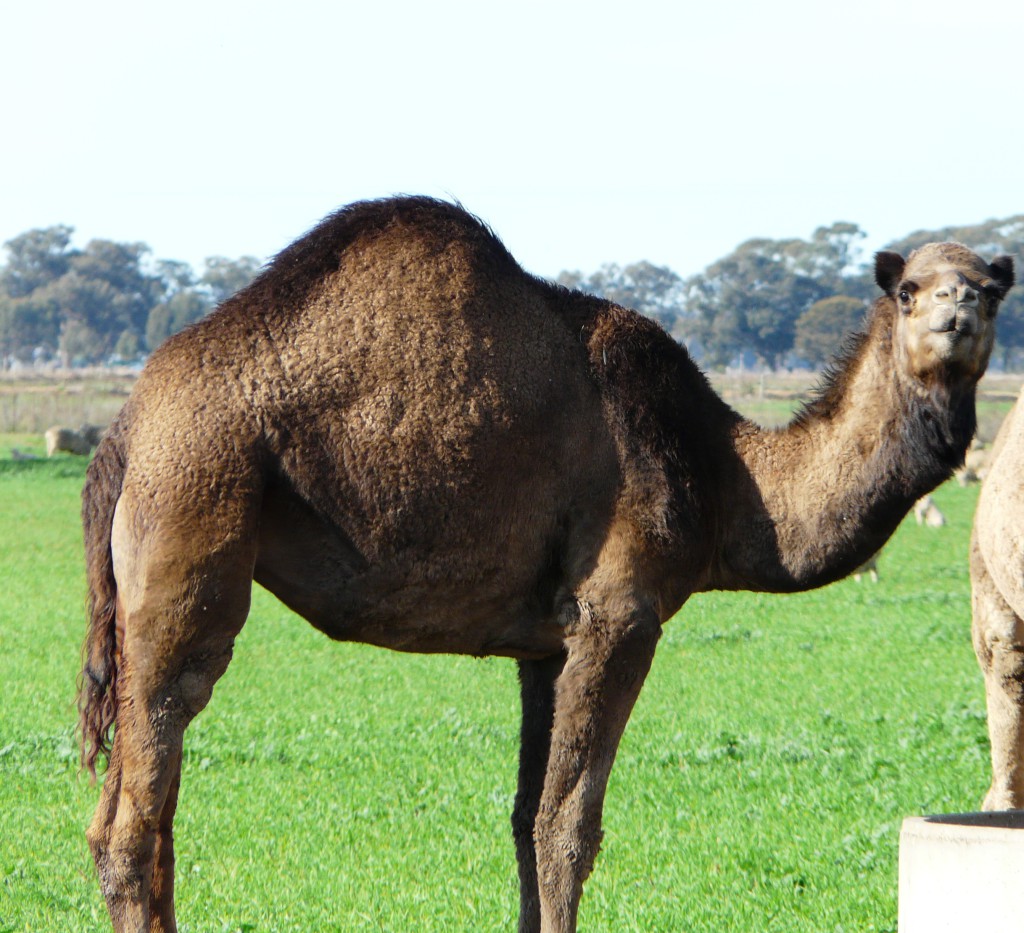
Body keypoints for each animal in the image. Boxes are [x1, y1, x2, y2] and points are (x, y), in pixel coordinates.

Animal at [75, 195, 1011, 925]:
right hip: (192, 510)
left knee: (150, 809)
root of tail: (124, 430)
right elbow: (568, 828)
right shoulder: (619, 613)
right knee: (132, 814)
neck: (724, 473)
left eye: (992, 290)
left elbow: (525, 817)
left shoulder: (544, 645)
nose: (955, 314)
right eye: (908, 290)